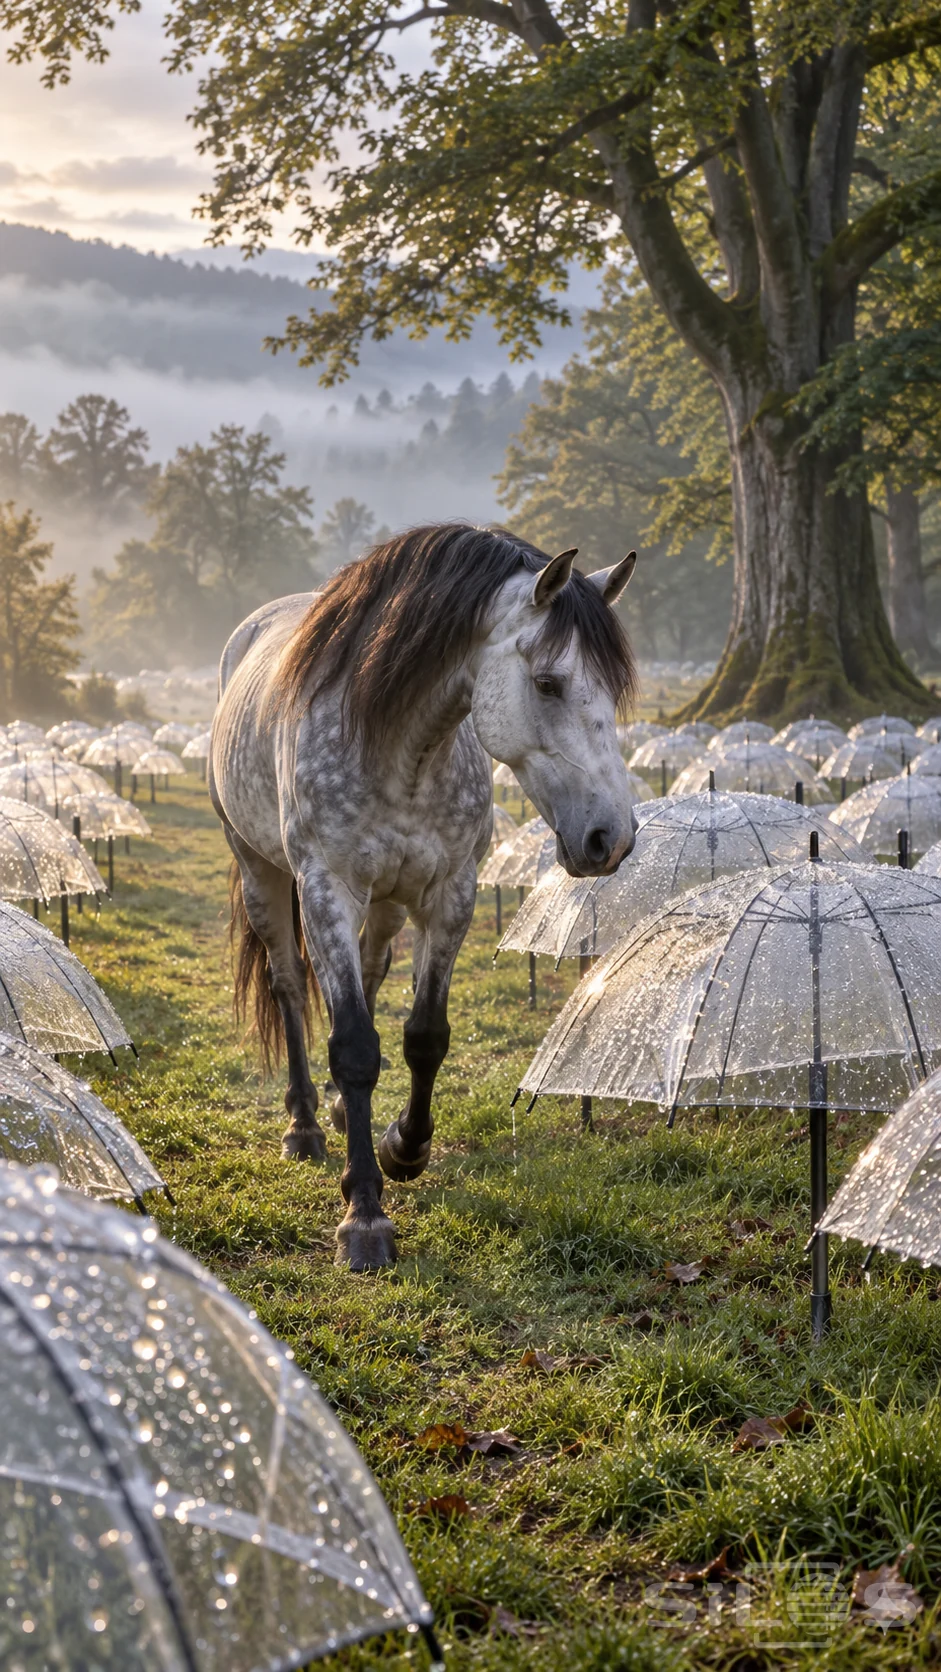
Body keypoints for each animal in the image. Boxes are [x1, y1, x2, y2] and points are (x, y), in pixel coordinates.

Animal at [210, 523, 638, 1270]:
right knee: (290, 986)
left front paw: (402, 1149)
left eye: (612, 691)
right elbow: (354, 1044)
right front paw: (364, 1215)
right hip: (262, 871)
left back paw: (332, 1111)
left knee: (371, 968)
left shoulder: (450, 894)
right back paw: (303, 1124)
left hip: (386, 900)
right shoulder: (326, 889)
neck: (399, 747)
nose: (609, 839)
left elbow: (424, 1036)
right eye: (548, 683)